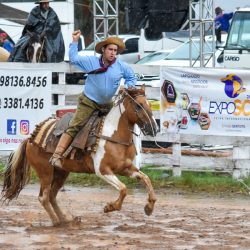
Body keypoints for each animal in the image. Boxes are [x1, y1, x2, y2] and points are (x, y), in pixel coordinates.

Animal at [1, 87, 158, 226]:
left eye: (149, 104)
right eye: (138, 105)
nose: (154, 128)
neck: (113, 135)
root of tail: (30, 139)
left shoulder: (126, 168)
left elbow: (146, 178)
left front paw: (149, 207)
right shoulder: (103, 170)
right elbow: (124, 188)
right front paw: (110, 207)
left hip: (61, 172)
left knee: (52, 196)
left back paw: (66, 219)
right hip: (45, 172)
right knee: (43, 197)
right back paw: (57, 221)